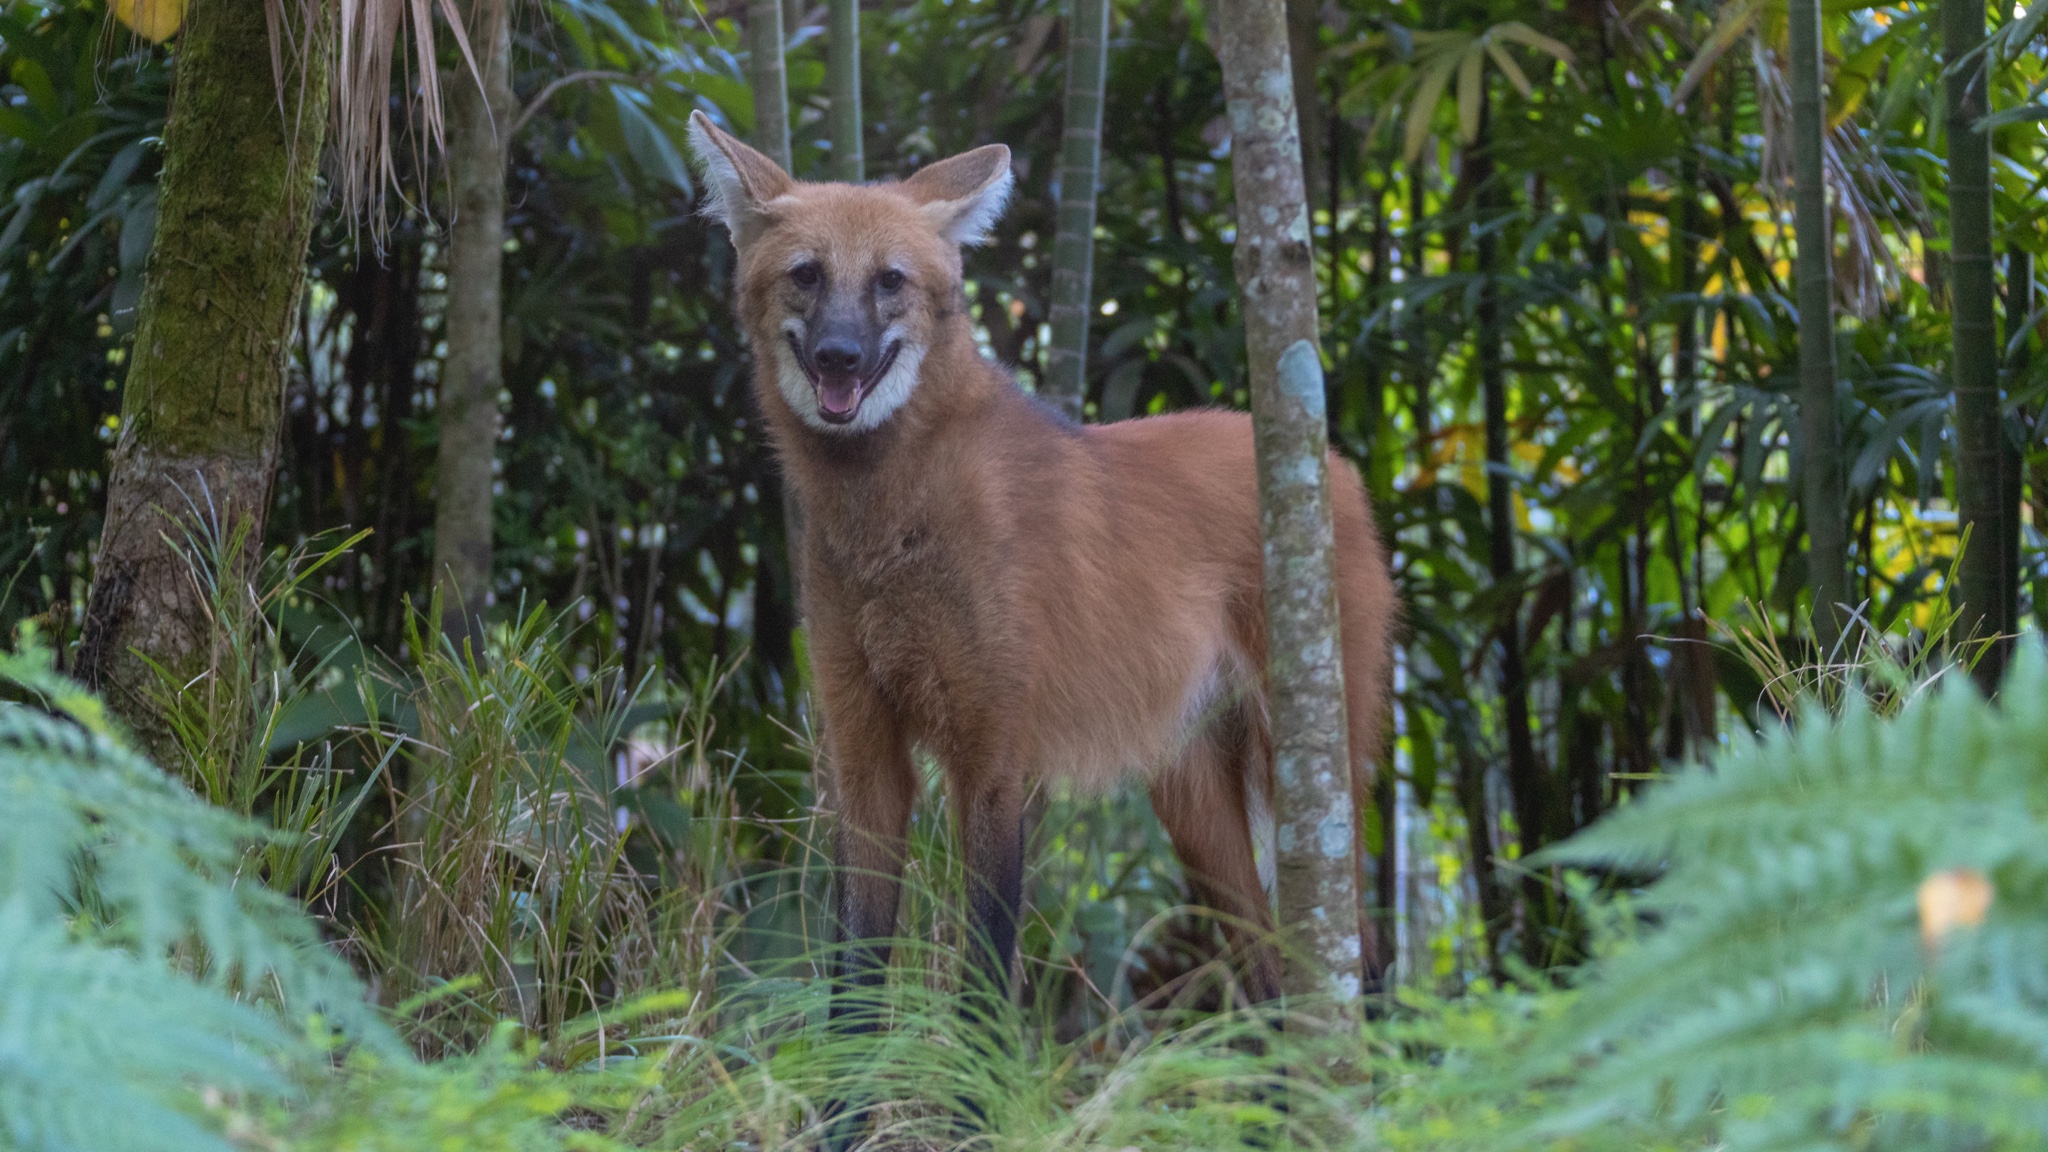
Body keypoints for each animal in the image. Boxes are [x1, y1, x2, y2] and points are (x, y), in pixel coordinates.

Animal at [684, 109, 1392, 1012]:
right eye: (807, 275)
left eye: (889, 281)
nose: (840, 356)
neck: (890, 519)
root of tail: (1335, 464)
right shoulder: (862, 751)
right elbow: (857, 981)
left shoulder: (994, 754)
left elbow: (983, 978)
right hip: (1192, 794)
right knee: (1270, 962)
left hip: (1309, 756)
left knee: (1357, 949)